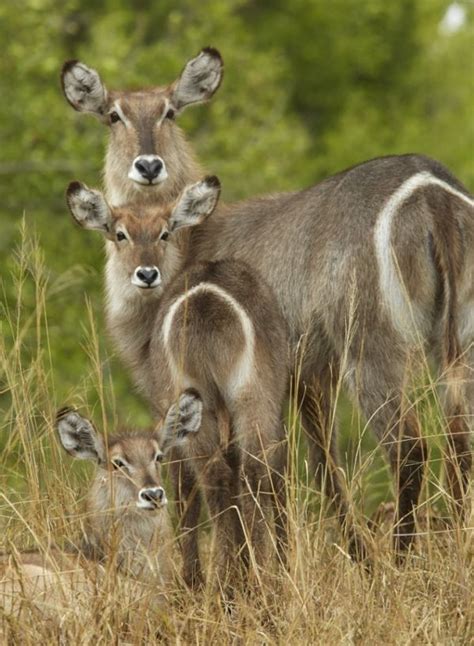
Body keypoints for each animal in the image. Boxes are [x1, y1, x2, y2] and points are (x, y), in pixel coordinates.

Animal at [66, 177, 288, 592]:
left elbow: (182, 489)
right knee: (255, 471)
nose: (146, 274)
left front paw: (191, 580)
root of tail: (205, 299)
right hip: (252, 397)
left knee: (214, 478)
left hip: (200, 400)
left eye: (164, 232)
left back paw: (227, 583)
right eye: (120, 234)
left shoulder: (164, 418)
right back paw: (262, 579)